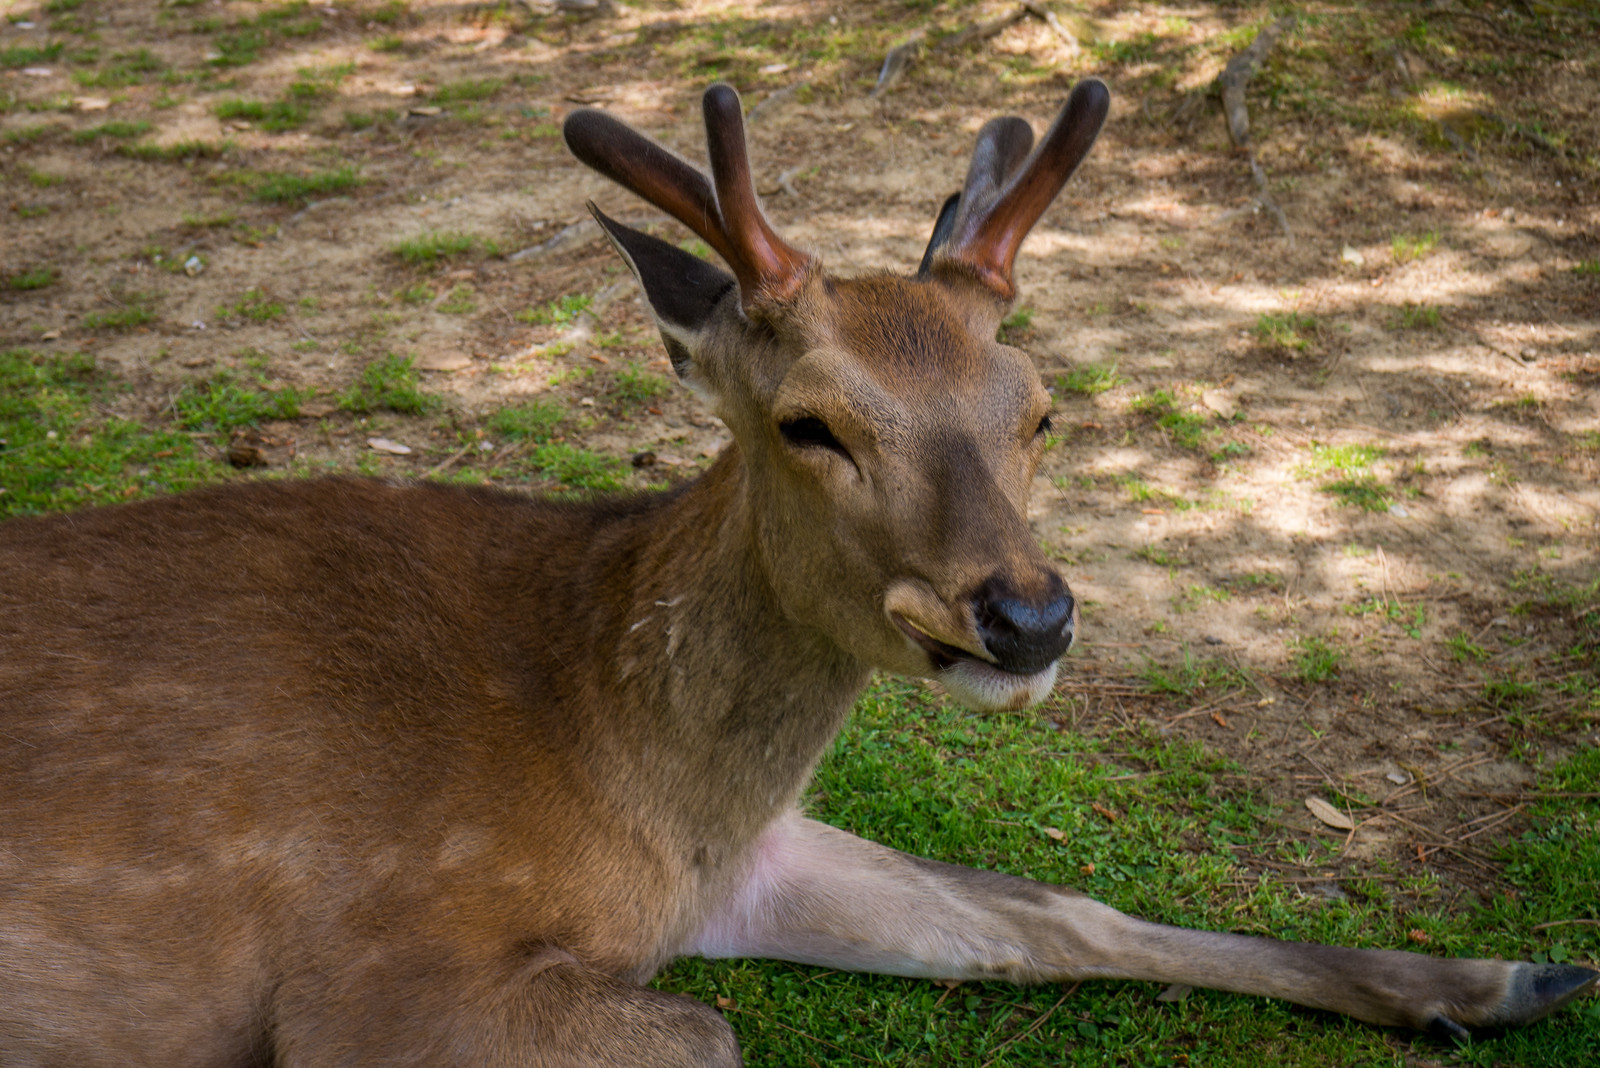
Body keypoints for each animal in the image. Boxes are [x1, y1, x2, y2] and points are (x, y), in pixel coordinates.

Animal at [1, 78, 1594, 1066]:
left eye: (1041, 408)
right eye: (809, 423)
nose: (1027, 616)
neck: (628, 775)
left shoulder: (749, 859)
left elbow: (1041, 916)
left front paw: (1501, 980)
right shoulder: (375, 973)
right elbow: (715, 1030)